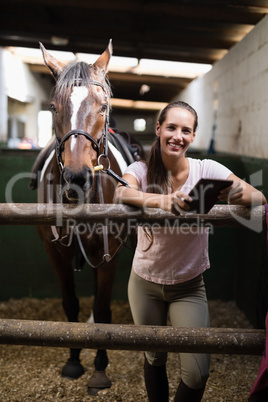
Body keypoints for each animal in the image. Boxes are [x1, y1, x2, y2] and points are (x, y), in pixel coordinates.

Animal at [36, 41, 141, 396]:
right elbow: (71, 304)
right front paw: (73, 361)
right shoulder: (55, 252)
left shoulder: (107, 254)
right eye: (53, 107)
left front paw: (99, 369)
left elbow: (103, 309)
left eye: (103, 106)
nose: (77, 177)